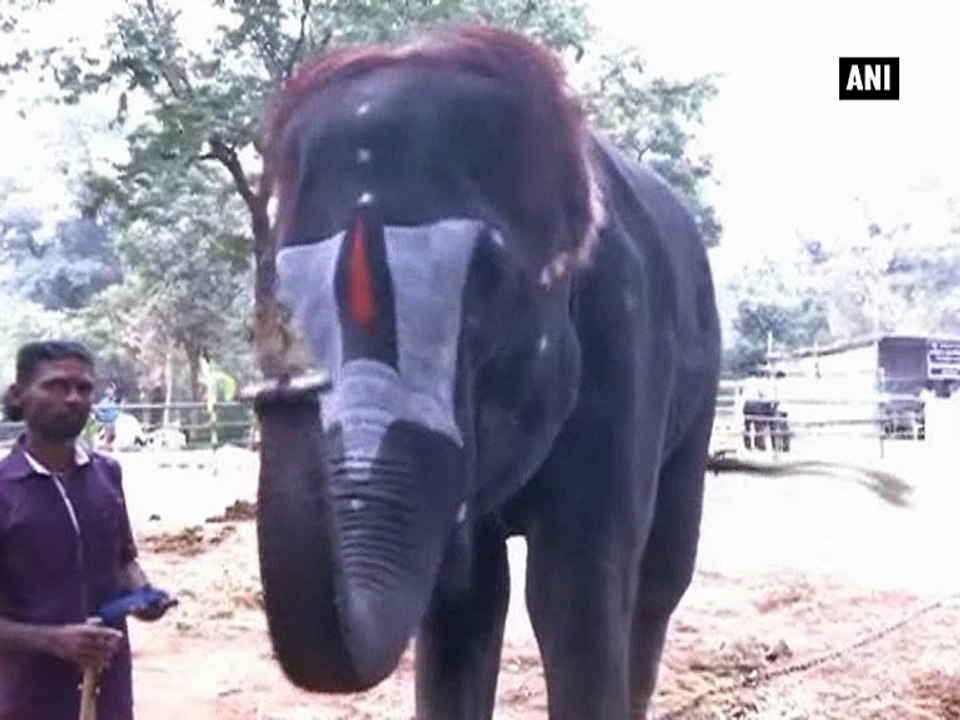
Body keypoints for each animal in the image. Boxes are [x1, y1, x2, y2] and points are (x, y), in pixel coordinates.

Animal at [250, 23, 722, 720]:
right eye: (289, 285)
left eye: (489, 281)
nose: (286, 385)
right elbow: (466, 607)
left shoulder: (627, 340)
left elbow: (573, 596)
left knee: (662, 578)